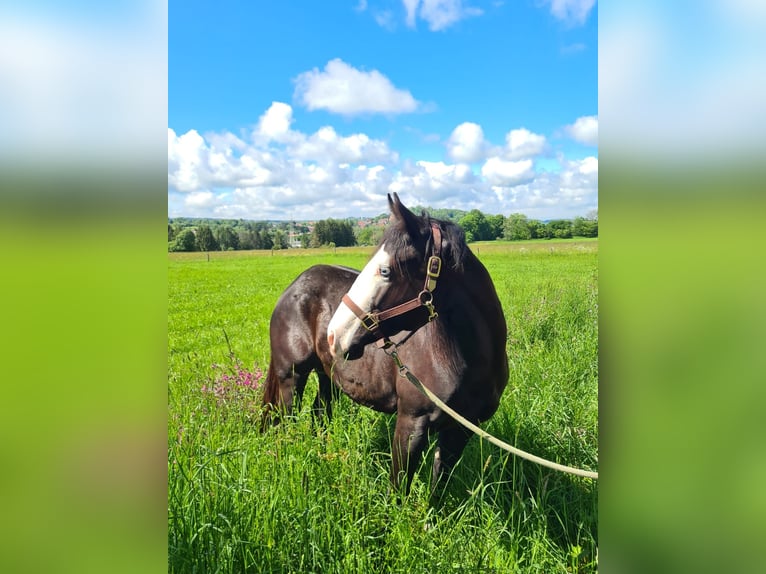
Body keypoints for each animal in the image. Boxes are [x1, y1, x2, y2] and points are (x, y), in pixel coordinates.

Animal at [261, 193, 509, 491]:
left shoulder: (459, 430)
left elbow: (438, 488)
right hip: (291, 377)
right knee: (284, 423)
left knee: (319, 415)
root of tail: (293, 287)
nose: (334, 335)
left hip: (328, 377)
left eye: (385, 271)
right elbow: (399, 488)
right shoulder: (411, 423)